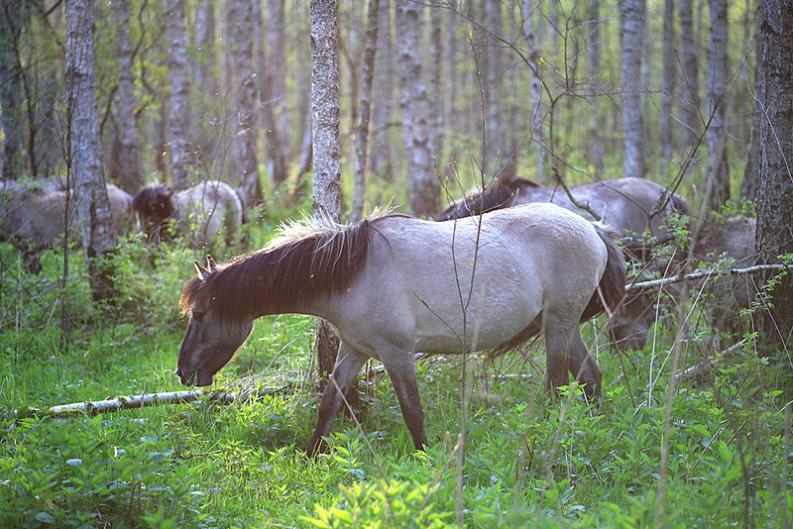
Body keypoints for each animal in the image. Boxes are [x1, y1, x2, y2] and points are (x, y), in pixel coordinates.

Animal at [173, 204, 624, 452]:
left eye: (200, 315)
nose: (183, 372)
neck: (352, 272)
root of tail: (593, 228)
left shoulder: (397, 354)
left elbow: (413, 412)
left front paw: (424, 460)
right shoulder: (354, 351)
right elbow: (329, 405)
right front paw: (312, 455)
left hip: (558, 324)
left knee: (556, 384)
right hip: (561, 323)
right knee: (591, 377)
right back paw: (591, 431)